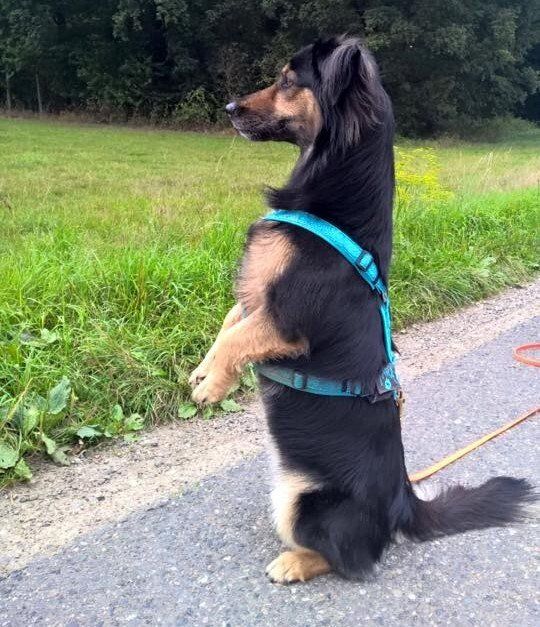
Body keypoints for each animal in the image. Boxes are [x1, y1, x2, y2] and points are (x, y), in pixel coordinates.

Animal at [189, 36, 534, 583]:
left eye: (289, 79)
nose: (228, 108)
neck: (333, 204)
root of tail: (405, 503)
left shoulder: (288, 322)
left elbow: (240, 335)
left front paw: (214, 386)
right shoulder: (261, 296)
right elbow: (230, 321)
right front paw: (204, 372)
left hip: (300, 503)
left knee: (354, 556)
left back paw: (293, 562)